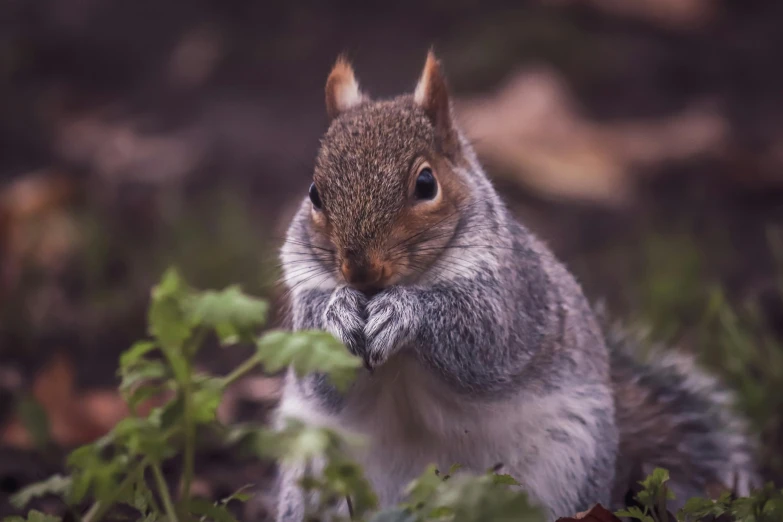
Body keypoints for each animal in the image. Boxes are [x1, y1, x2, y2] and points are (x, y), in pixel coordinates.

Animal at [274, 52, 760, 520]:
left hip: (563, 463)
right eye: (315, 192)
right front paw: (337, 312)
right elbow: (318, 371)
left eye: (426, 184)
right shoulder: (304, 283)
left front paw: (403, 312)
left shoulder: (513, 293)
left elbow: (482, 342)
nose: (358, 271)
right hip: (315, 468)